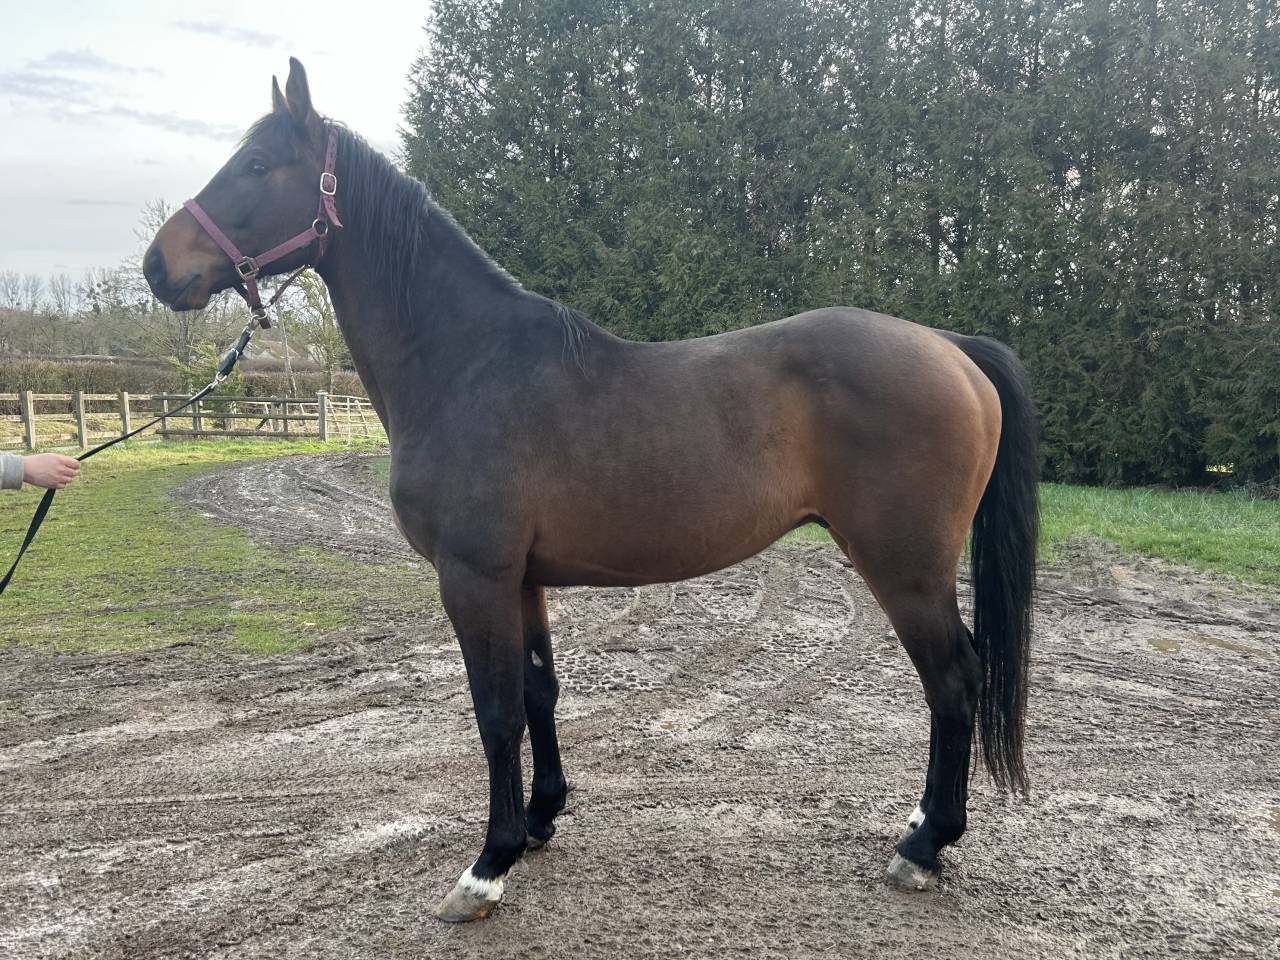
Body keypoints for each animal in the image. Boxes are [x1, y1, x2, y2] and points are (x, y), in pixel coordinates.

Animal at [144, 59, 1038, 923]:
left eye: (258, 165)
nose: (158, 265)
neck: (467, 362)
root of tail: (950, 346)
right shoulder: (522, 580)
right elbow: (539, 691)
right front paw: (541, 819)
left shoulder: (473, 578)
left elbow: (495, 710)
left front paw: (488, 865)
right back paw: (923, 826)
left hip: (904, 568)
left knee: (954, 681)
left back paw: (923, 846)